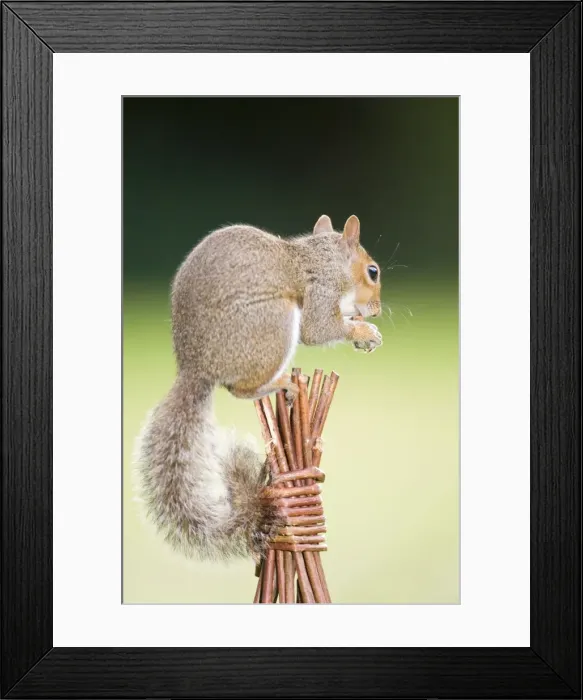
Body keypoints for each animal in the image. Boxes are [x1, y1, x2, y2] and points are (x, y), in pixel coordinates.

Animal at [136, 214, 382, 562]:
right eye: (373, 272)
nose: (377, 310)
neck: (323, 259)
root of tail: (196, 368)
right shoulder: (321, 291)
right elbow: (318, 329)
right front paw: (365, 331)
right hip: (273, 323)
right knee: (240, 389)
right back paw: (282, 382)